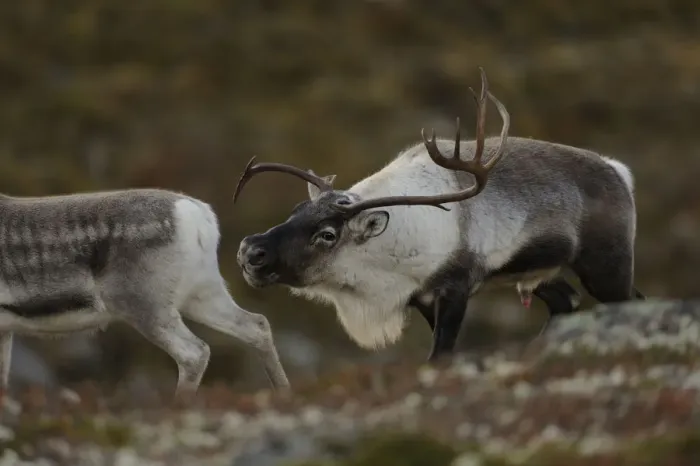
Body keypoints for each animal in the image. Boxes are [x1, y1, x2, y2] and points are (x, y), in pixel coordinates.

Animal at [0, 188, 289, 402]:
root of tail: (198, 216)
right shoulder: (5, 330)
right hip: (202, 293)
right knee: (257, 325)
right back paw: (284, 392)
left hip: (144, 303)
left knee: (194, 352)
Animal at [234, 68, 645, 361]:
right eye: (297, 210)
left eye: (327, 234)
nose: (251, 250)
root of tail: (619, 172)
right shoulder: (421, 299)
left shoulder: (455, 290)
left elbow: (440, 355)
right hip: (535, 274)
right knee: (566, 301)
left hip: (606, 266)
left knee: (630, 301)